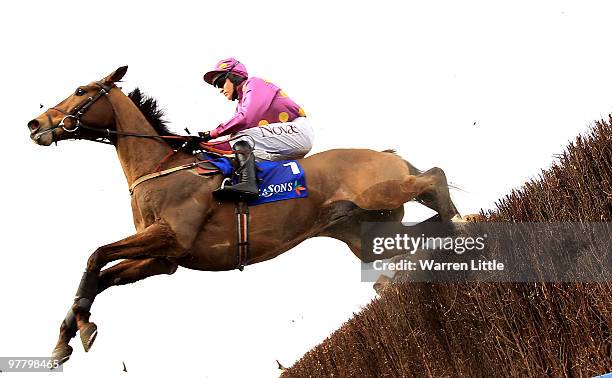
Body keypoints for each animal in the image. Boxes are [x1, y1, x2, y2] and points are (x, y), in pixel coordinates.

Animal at [26, 66, 462, 364]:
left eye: (81, 90)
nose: (35, 123)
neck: (161, 168)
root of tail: (384, 154)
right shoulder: (163, 260)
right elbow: (101, 276)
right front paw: (66, 337)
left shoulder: (172, 237)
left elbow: (95, 255)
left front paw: (82, 326)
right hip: (365, 232)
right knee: (416, 226)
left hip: (381, 192)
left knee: (435, 176)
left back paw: (459, 226)